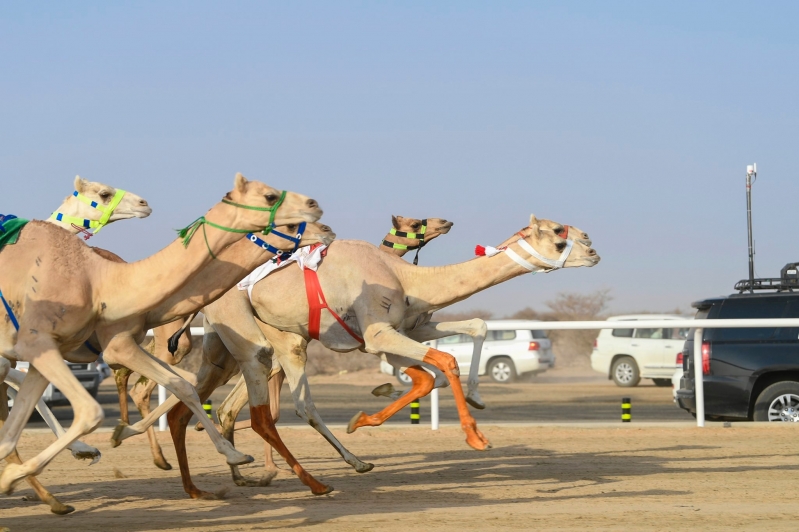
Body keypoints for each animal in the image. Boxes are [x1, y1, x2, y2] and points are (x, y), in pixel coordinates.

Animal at [123, 213, 600, 494]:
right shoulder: (376, 334)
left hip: (232, 348)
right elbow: (442, 363)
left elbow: (469, 335)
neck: (403, 275)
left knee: (198, 401)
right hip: (254, 340)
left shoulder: (410, 326)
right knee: (265, 410)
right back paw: (313, 481)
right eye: (560, 235)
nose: (593, 248)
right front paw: (476, 437)